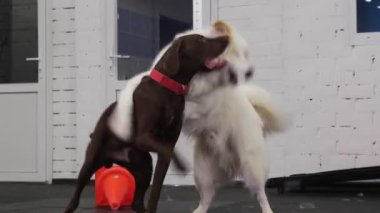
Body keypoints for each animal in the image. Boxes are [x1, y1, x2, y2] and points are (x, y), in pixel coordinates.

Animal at [64, 33, 229, 213]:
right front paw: (179, 164)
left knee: (136, 202)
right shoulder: (143, 137)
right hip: (90, 163)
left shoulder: (169, 140)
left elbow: (158, 182)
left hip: (144, 167)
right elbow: (166, 153)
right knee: (74, 199)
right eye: (201, 40)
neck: (167, 88)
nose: (226, 38)